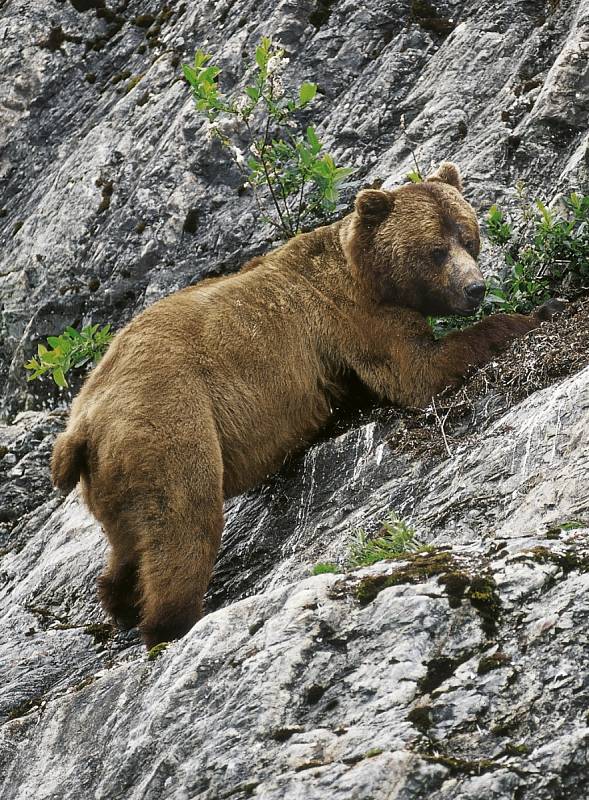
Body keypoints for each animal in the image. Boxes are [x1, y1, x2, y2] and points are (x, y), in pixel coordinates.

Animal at [49, 161, 556, 644]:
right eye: (436, 250)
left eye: (469, 238)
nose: (475, 288)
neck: (367, 274)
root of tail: (81, 424)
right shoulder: (354, 318)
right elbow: (417, 372)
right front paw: (534, 314)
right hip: (168, 423)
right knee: (183, 523)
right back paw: (172, 622)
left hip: (114, 472)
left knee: (128, 539)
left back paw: (119, 601)